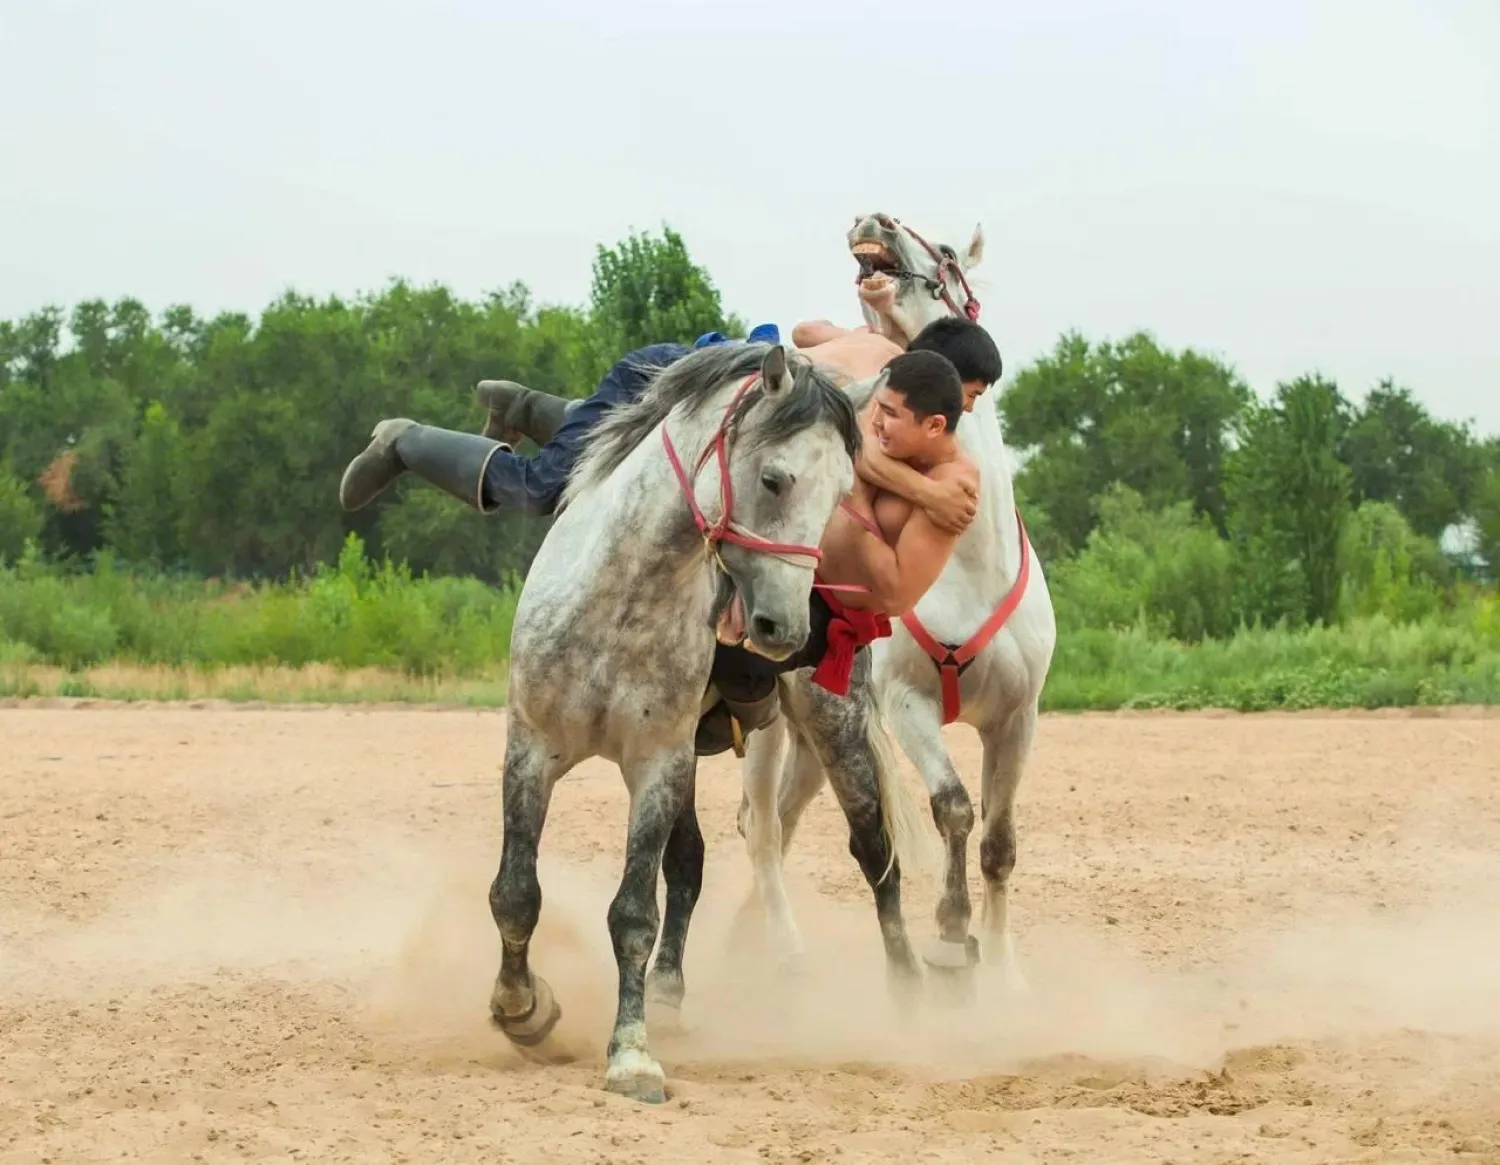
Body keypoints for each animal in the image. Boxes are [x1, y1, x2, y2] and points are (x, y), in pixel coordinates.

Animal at [738, 212, 1056, 995]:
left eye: (945, 253)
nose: (873, 220)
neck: (970, 564)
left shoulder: (1018, 717)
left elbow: (1000, 843)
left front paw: (1005, 973)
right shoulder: (909, 702)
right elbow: (954, 807)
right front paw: (949, 932)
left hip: (815, 737)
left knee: (783, 822)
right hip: (767, 726)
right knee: (762, 830)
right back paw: (782, 951)